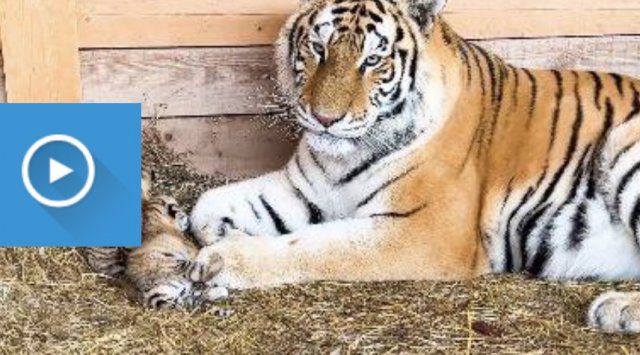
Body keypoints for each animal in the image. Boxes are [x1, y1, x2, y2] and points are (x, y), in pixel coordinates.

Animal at [189, 0, 640, 334]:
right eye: (319, 48)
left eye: (372, 60)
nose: (324, 118)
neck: (345, 154)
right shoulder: (303, 188)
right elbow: (206, 207)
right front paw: (222, 231)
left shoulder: (423, 230)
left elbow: (318, 244)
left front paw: (224, 260)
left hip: (623, 145)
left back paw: (616, 309)